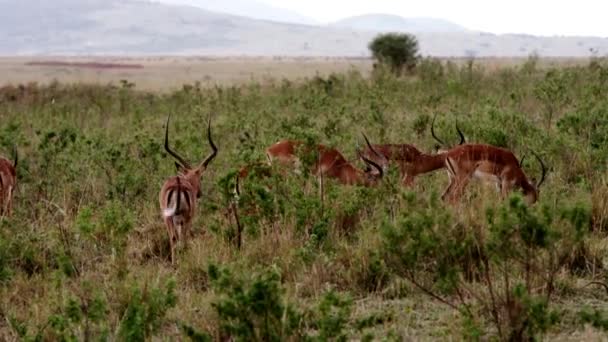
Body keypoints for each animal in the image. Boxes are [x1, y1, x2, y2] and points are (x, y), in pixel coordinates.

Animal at [159, 115, 218, 264]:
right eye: (201, 177)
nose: (199, 193)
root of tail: (178, 185)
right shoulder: (188, 219)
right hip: (184, 218)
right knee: (181, 239)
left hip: (168, 218)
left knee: (174, 238)